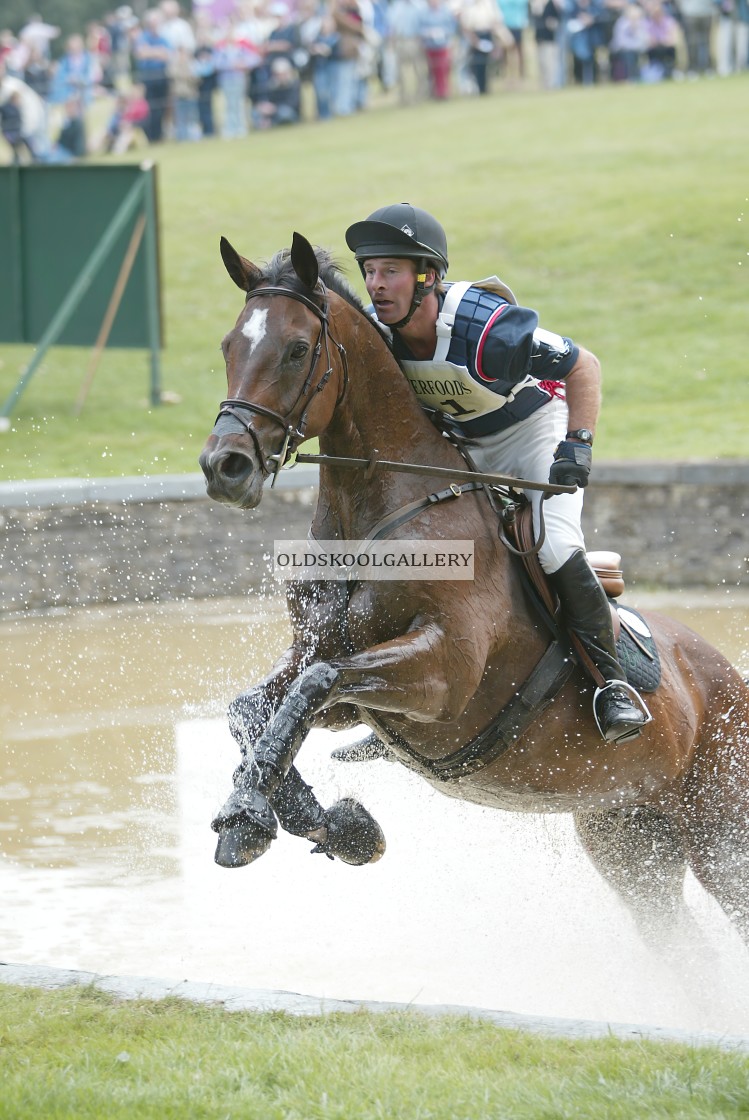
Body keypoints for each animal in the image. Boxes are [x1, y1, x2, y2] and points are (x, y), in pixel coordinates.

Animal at [198, 234, 747, 954]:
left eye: (295, 350)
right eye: (229, 346)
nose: (223, 467)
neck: (376, 514)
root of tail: (727, 675)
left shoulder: (443, 674)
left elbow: (315, 684)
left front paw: (251, 816)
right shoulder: (342, 677)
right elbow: (258, 708)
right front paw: (328, 825)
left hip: (720, 833)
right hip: (628, 834)